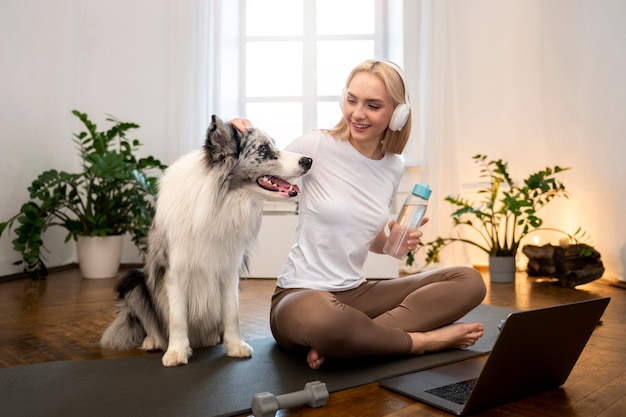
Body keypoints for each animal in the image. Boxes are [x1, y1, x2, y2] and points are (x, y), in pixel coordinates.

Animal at [102, 115, 312, 366]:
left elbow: (232, 312)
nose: (308, 160)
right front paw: (176, 352)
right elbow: (177, 317)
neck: (221, 200)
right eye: (263, 149)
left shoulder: (229, 269)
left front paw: (235, 346)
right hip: (134, 280)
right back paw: (152, 341)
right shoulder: (175, 271)